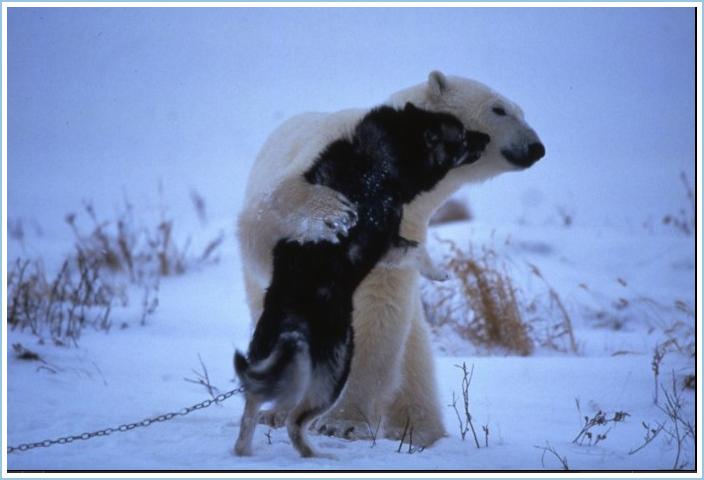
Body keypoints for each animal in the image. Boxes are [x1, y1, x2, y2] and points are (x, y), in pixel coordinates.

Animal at [236, 70, 544, 446]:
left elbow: (379, 313)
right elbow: (269, 215)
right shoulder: (322, 162)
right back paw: (277, 411)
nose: (537, 147)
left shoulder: (407, 224)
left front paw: (343, 423)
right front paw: (332, 212)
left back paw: (420, 431)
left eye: (521, 111)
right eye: (499, 109)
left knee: (414, 357)